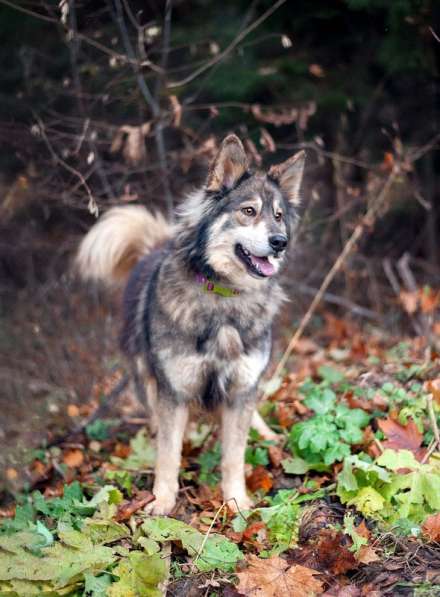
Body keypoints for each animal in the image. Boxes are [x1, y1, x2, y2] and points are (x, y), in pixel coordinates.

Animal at [76, 134, 306, 512]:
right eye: (248, 211)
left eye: (278, 216)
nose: (280, 243)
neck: (224, 296)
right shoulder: (174, 391)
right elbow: (168, 454)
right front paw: (161, 502)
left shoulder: (241, 388)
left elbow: (234, 455)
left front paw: (237, 503)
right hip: (145, 375)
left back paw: (267, 433)